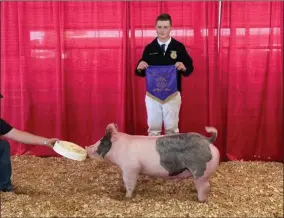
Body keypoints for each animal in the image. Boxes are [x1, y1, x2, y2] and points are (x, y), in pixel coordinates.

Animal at [85, 122, 221, 203]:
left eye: (101, 141)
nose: (87, 147)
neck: (120, 148)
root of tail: (208, 140)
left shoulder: (130, 168)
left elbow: (129, 184)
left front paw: (127, 198)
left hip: (201, 170)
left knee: (205, 186)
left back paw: (200, 200)